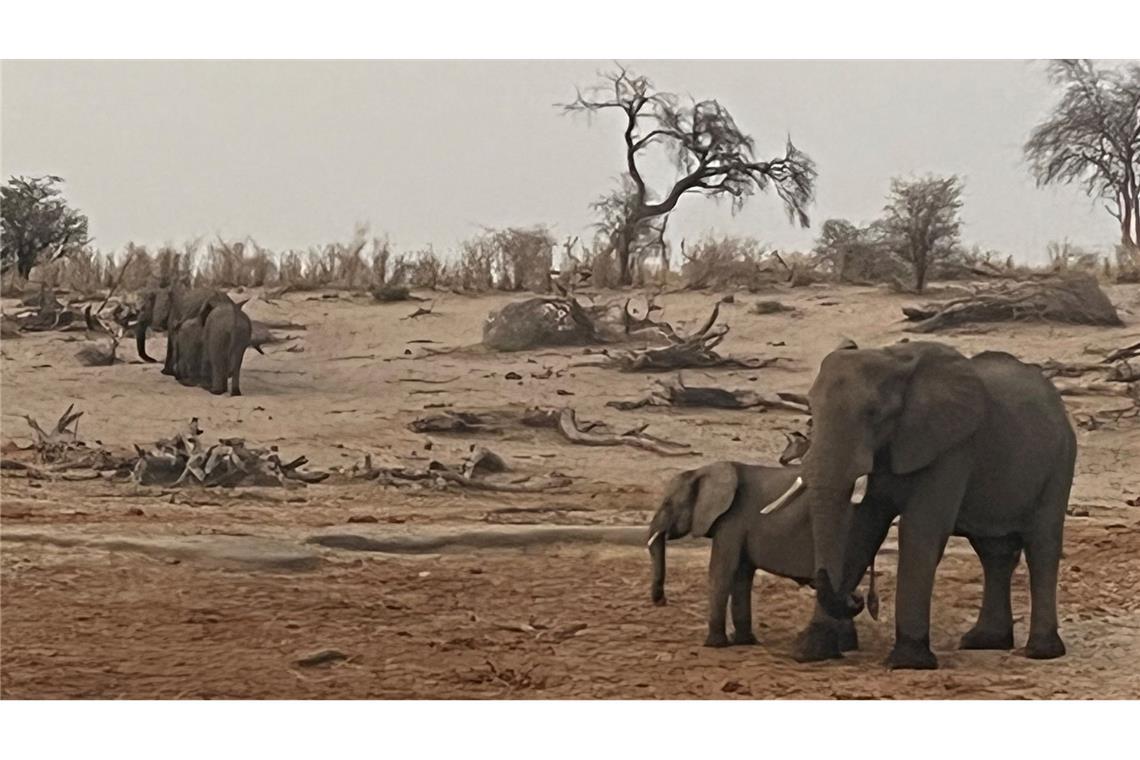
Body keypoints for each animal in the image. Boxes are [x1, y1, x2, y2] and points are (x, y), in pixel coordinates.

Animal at [647, 460, 857, 651]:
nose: (662, 601)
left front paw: (714, 645)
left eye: (667, 503)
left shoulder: (732, 521)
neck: (702, 470)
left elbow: (721, 571)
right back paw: (847, 645)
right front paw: (744, 641)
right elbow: (742, 575)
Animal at [788, 341, 1071, 669]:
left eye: (873, 413)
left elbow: (921, 530)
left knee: (1041, 546)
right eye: (811, 410)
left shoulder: (951, 447)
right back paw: (985, 642)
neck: (892, 359)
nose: (858, 599)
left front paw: (908, 663)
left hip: (1059, 463)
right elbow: (862, 528)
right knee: (994, 552)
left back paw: (1041, 651)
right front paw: (809, 651)